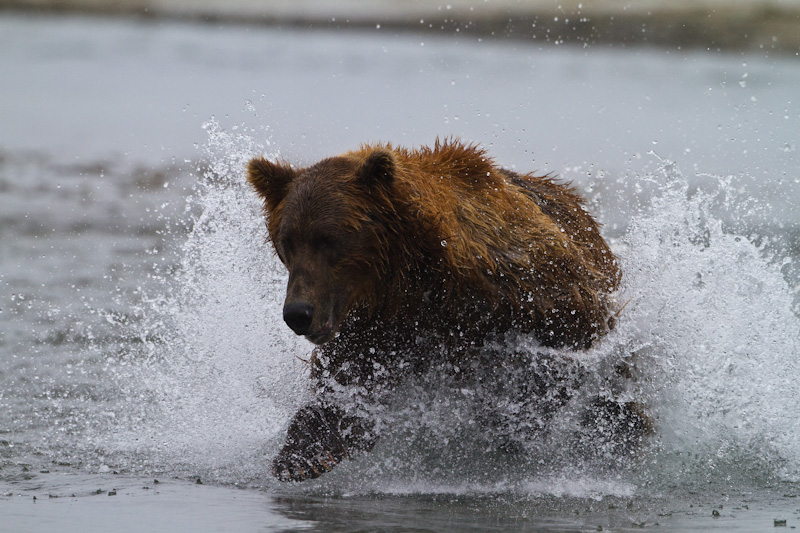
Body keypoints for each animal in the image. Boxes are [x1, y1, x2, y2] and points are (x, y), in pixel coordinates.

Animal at [247, 139, 640, 480]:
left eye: (328, 240)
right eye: (288, 242)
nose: (298, 313)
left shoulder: (525, 288)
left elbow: (562, 350)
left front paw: (510, 419)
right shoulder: (377, 328)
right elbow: (346, 391)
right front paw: (299, 457)